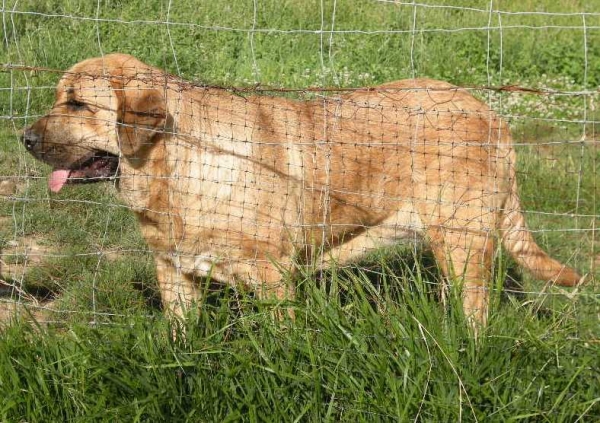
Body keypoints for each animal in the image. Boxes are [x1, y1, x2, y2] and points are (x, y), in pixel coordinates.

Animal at [22, 53, 580, 328]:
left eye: (77, 103)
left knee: (476, 310)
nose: (24, 138)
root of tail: (492, 114)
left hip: (463, 239)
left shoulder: (272, 278)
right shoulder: (174, 274)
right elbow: (181, 340)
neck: (178, 163)